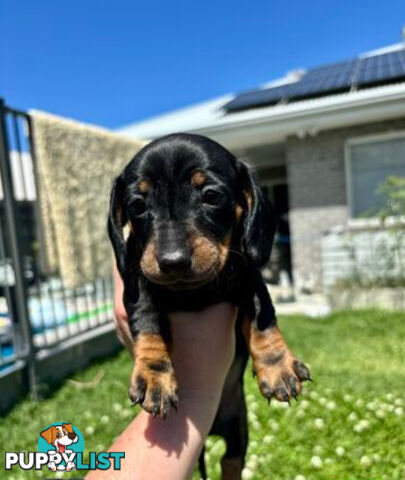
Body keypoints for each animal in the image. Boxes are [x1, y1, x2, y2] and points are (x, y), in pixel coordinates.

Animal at [107, 132, 310, 480]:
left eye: (212, 196)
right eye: (137, 205)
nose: (172, 262)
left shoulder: (250, 278)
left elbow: (262, 318)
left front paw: (277, 367)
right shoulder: (137, 280)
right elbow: (147, 319)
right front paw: (154, 376)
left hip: (238, 427)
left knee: (231, 460)